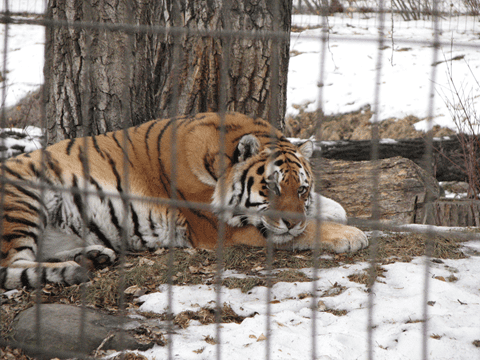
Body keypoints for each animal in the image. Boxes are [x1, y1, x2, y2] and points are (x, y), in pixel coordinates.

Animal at [0, 112, 368, 290]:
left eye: (301, 190)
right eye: (271, 188)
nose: (292, 221)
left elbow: (329, 208)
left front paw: (334, 214)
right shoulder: (223, 227)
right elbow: (306, 231)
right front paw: (352, 236)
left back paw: (93, 256)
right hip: (22, 200)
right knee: (11, 265)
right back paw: (74, 268)